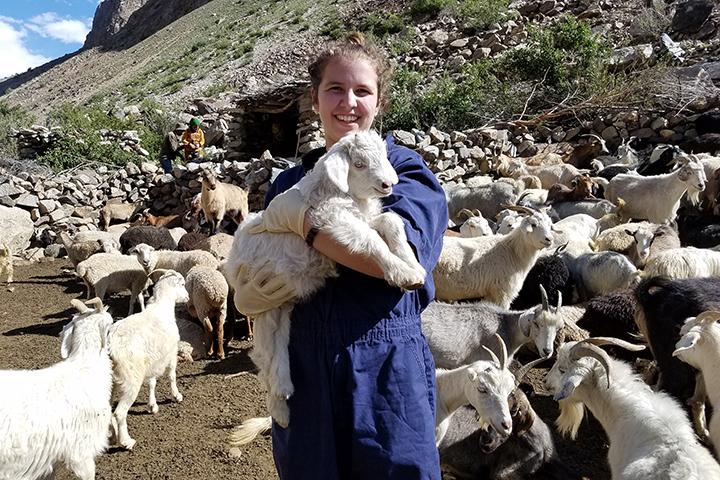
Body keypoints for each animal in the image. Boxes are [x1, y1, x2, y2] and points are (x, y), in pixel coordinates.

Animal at [107, 270, 188, 450]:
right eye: (183, 284)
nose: (187, 297)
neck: (161, 307)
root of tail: (110, 347)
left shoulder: (152, 360)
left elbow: (152, 382)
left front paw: (152, 406)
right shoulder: (171, 353)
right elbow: (172, 375)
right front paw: (177, 395)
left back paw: (112, 437)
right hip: (131, 380)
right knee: (119, 413)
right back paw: (126, 441)